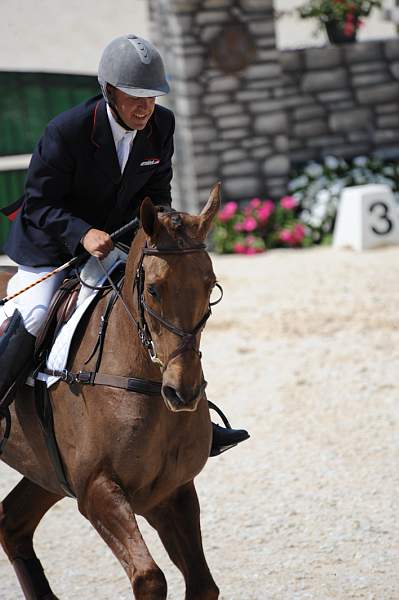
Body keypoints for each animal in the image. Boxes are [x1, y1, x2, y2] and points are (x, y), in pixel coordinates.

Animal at [0, 185, 222, 596]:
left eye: (210, 285)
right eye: (153, 289)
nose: (182, 393)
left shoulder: (170, 492)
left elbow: (203, 585)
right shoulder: (96, 490)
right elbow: (149, 577)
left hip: (45, 469)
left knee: (12, 524)